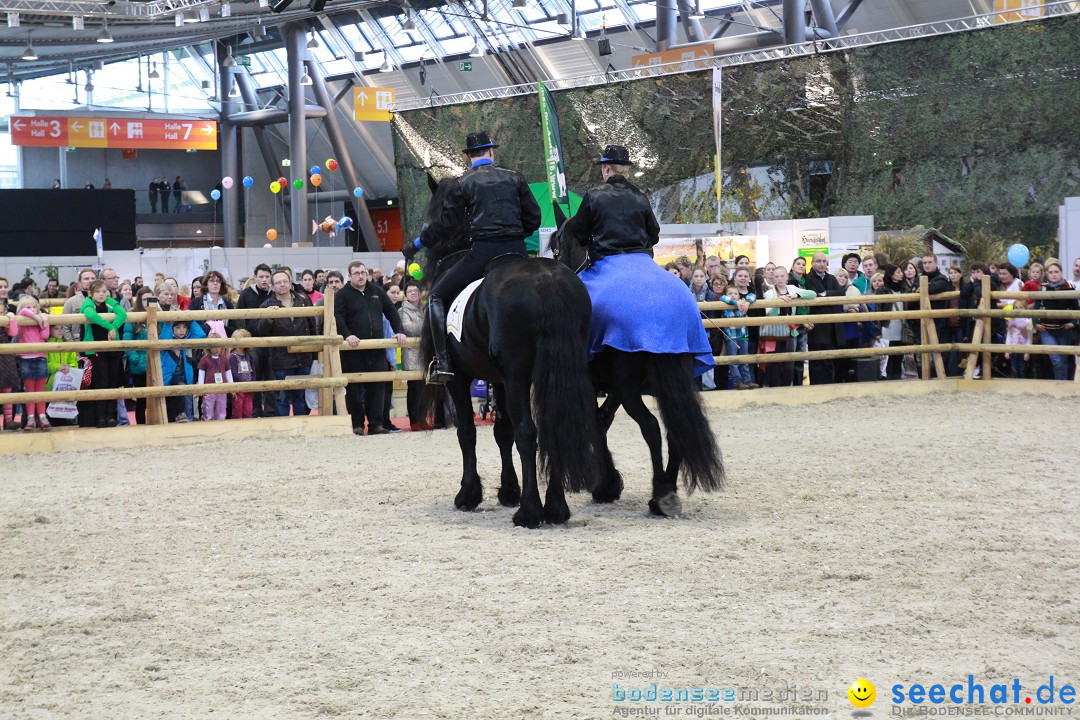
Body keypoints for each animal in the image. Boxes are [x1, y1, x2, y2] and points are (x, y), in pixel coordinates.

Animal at [416, 179, 604, 528]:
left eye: (436, 211)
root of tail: (546, 280)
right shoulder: (499, 380)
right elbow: (502, 431)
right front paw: (507, 490)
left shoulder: (461, 379)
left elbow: (468, 432)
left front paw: (469, 494)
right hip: (553, 373)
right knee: (552, 427)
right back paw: (555, 508)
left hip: (518, 377)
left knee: (528, 432)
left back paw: (530, 512)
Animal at [552, 209, 721, 518]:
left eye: (556, 248)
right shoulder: (616, 387)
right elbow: (603, 419)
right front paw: (606, 482)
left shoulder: (600, 384)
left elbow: (597, 421)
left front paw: (605, 484)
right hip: (668, 383)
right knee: (676, 430)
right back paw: (665, 492)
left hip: (631, 389)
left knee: (652, 428)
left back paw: (662, 495)